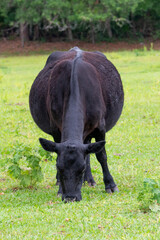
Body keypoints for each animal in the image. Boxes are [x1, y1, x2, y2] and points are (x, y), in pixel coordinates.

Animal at [29, 47, 124, 202]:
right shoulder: (56, 129)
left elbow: (101, 155)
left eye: (82, 168)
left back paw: (89, 180)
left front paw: (110, 185)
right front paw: (60, 190)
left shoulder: (100, 127)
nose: (70, 198)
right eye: (59, 167)